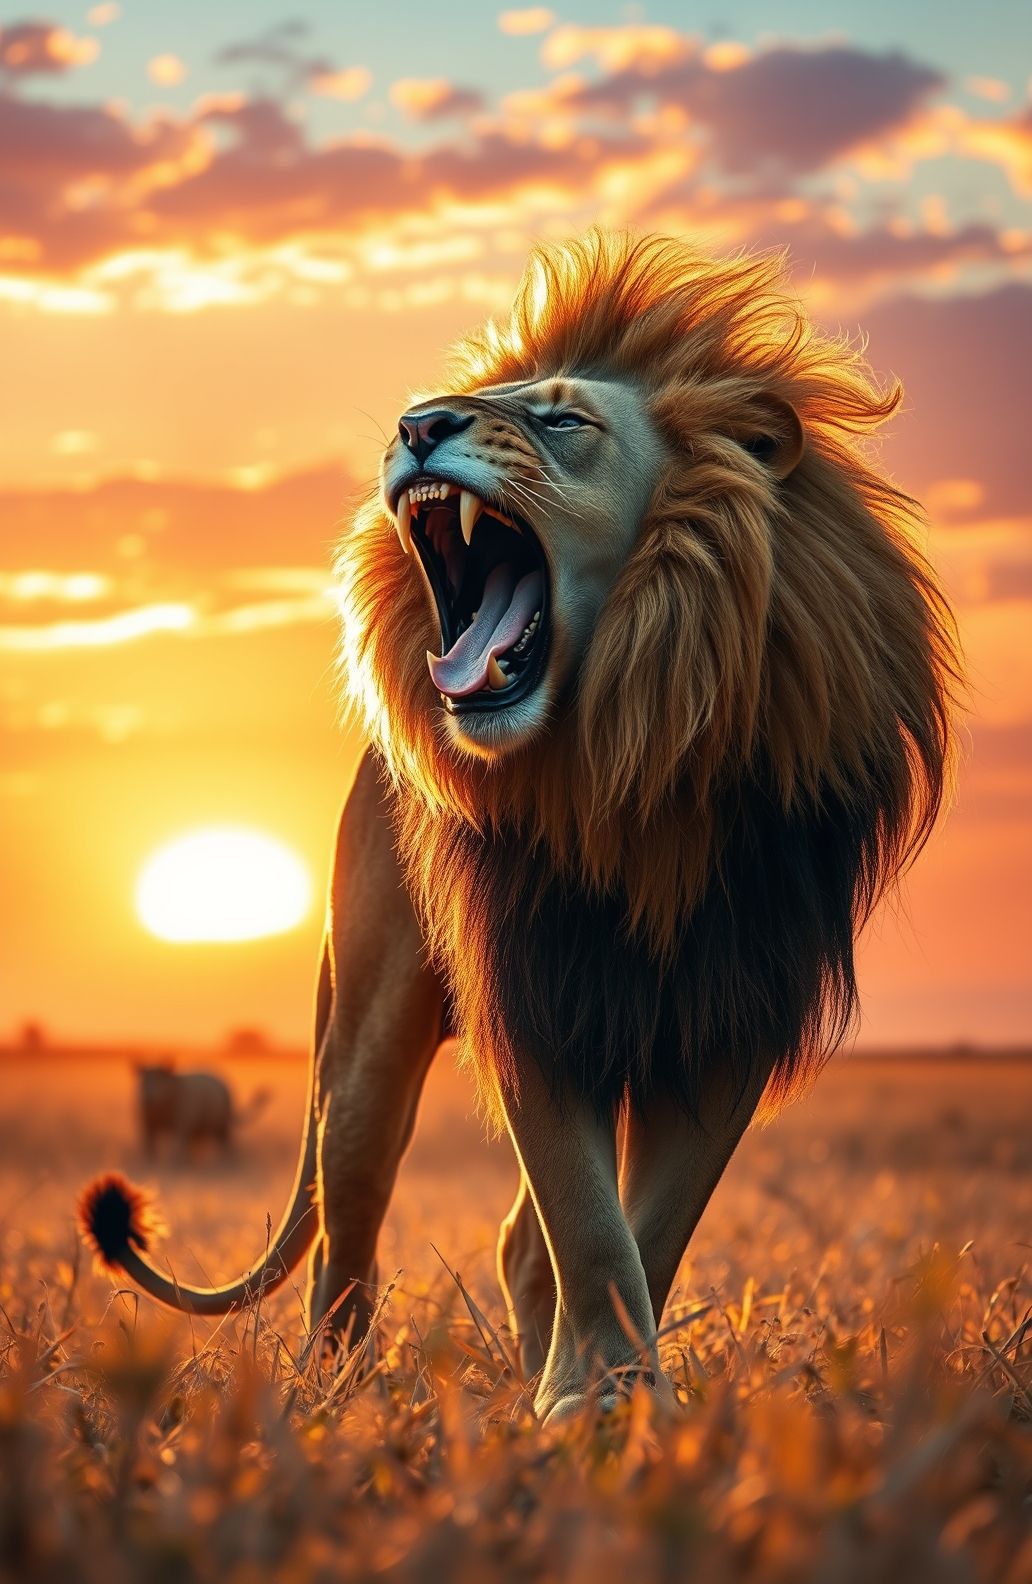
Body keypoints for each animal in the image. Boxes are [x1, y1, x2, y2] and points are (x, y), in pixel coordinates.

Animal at [80, 231, 958, 1424]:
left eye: (561, 419)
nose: (416, 425)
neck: (631, 764)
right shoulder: (533, 987)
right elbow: (586, 1221)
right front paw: (591, 1409)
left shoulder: (733, 1004)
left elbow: (641, 1230)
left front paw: (611, 1404)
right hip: (366, 1035)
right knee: (347, 1225)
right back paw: (329, 1397)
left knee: (512, 1245)